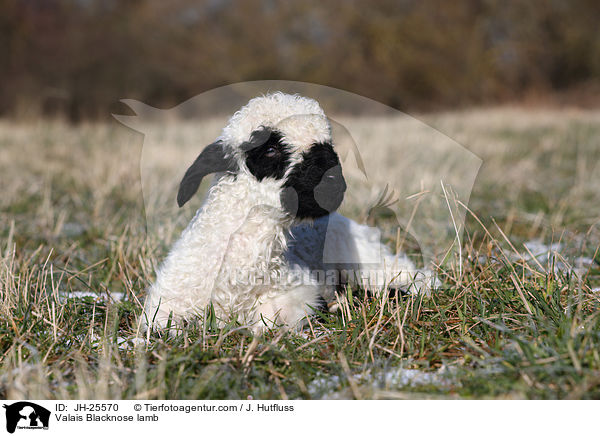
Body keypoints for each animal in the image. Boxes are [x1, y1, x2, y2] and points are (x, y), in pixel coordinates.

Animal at [143, 90, 434, 332]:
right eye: (270, 149)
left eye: (329, 145)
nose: (333, 183)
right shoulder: (163, 305)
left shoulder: (297, 293)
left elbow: (272, 321)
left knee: (419, 278)